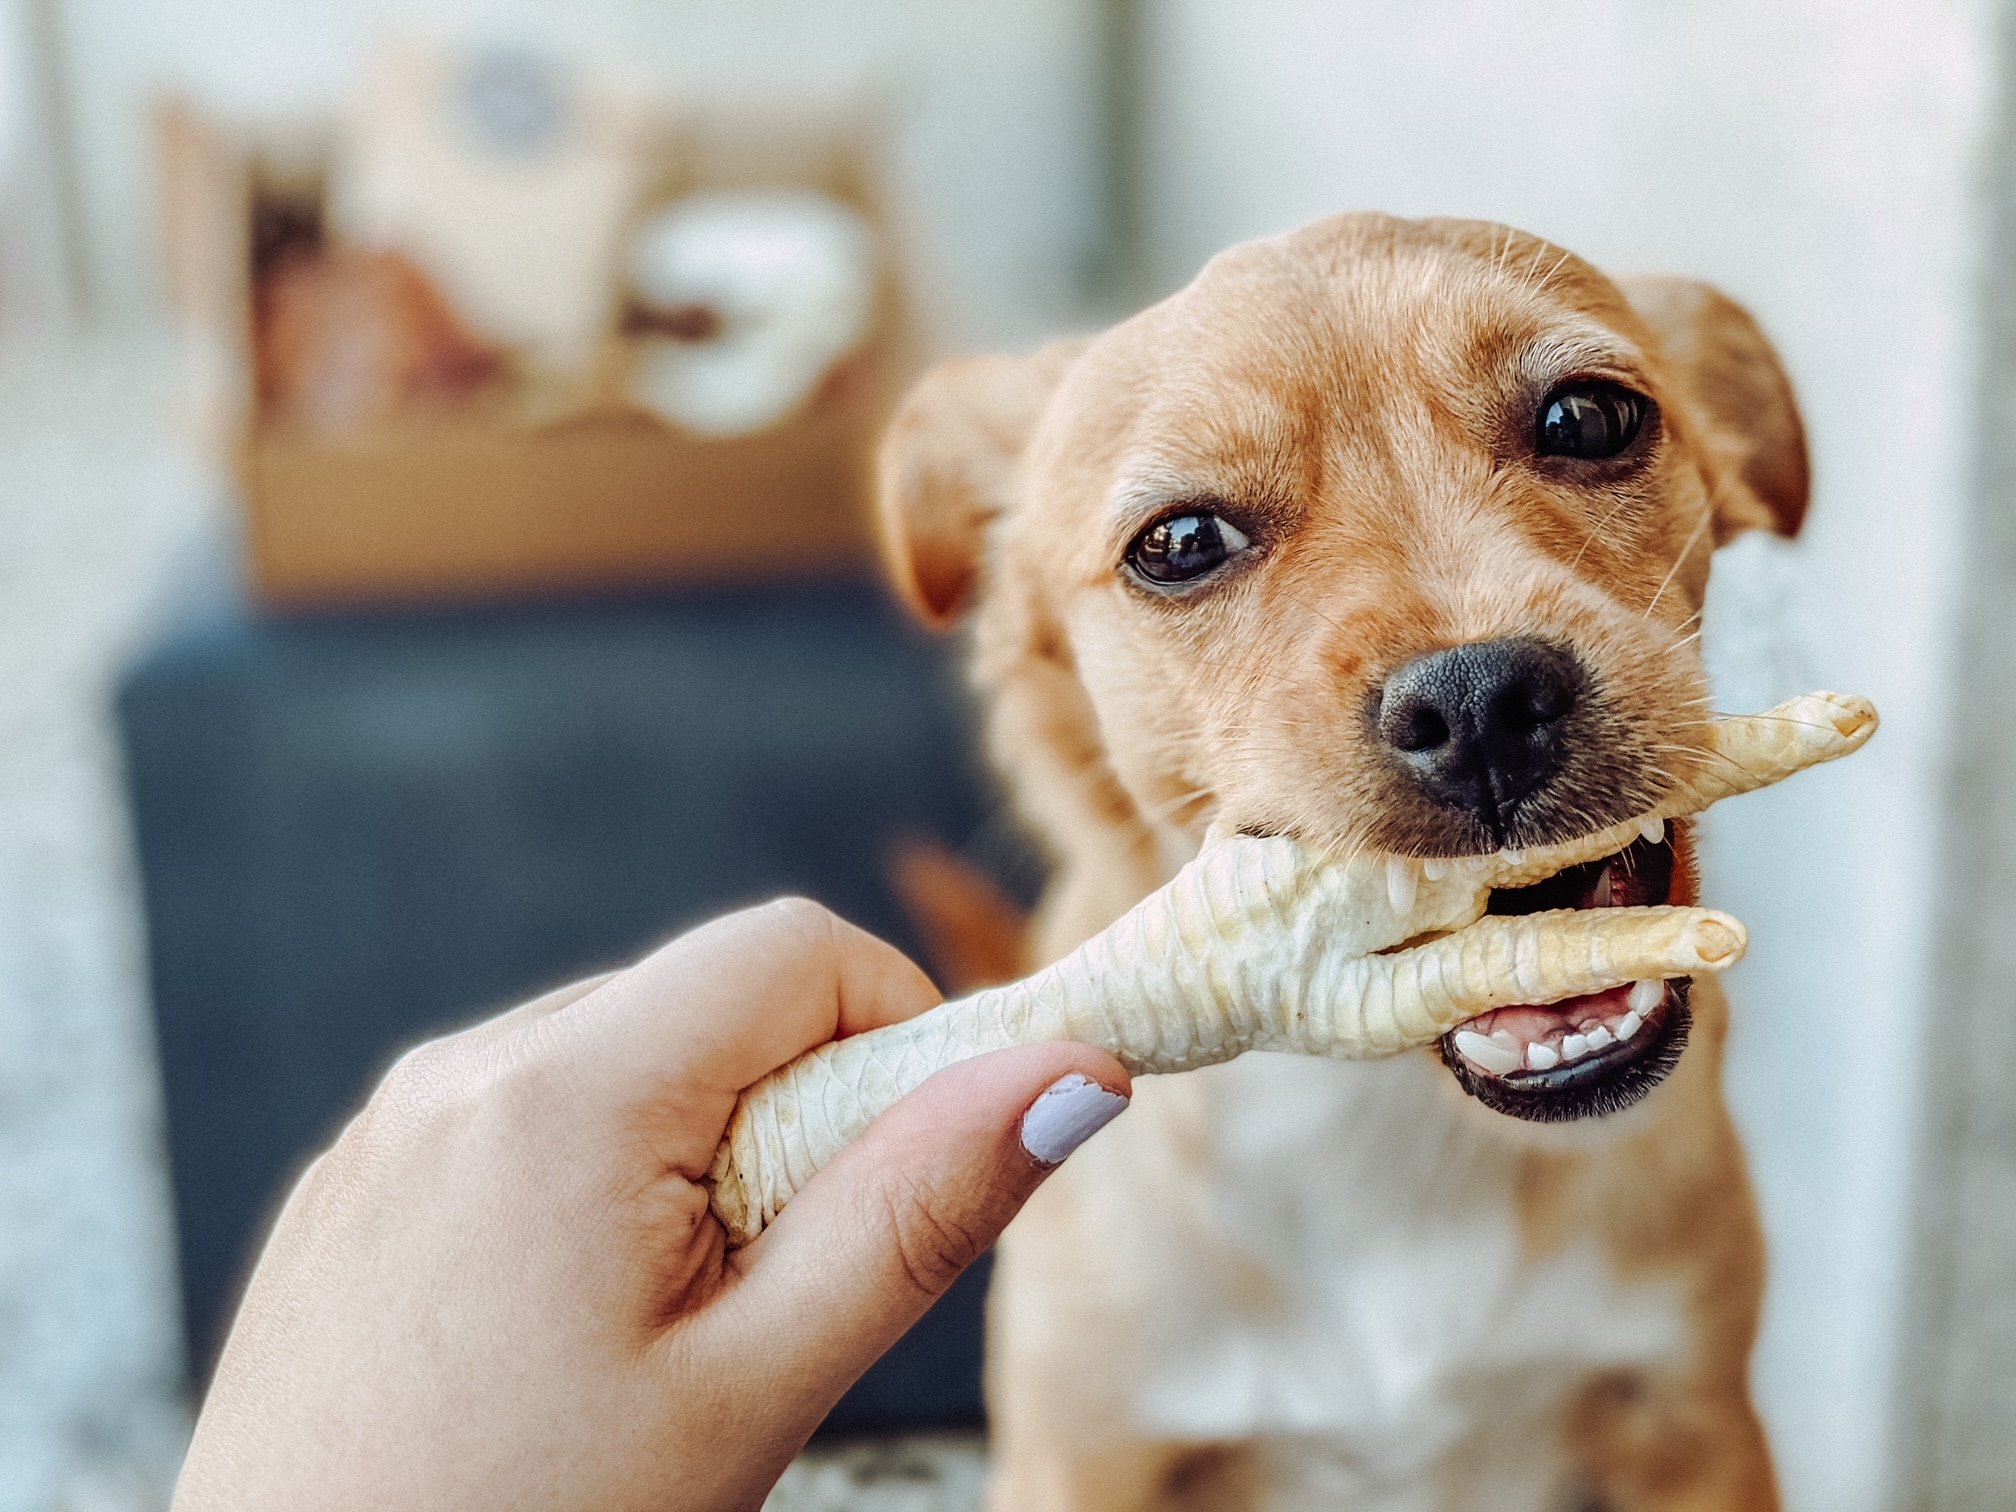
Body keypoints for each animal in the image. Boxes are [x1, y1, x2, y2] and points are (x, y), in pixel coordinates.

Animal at [874, 215, 1806, 1512]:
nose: (1480, 701)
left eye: (1588, 417)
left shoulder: (1698, 1426)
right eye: (1180, 542)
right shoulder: (1081, 1461)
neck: (1393, 1123)